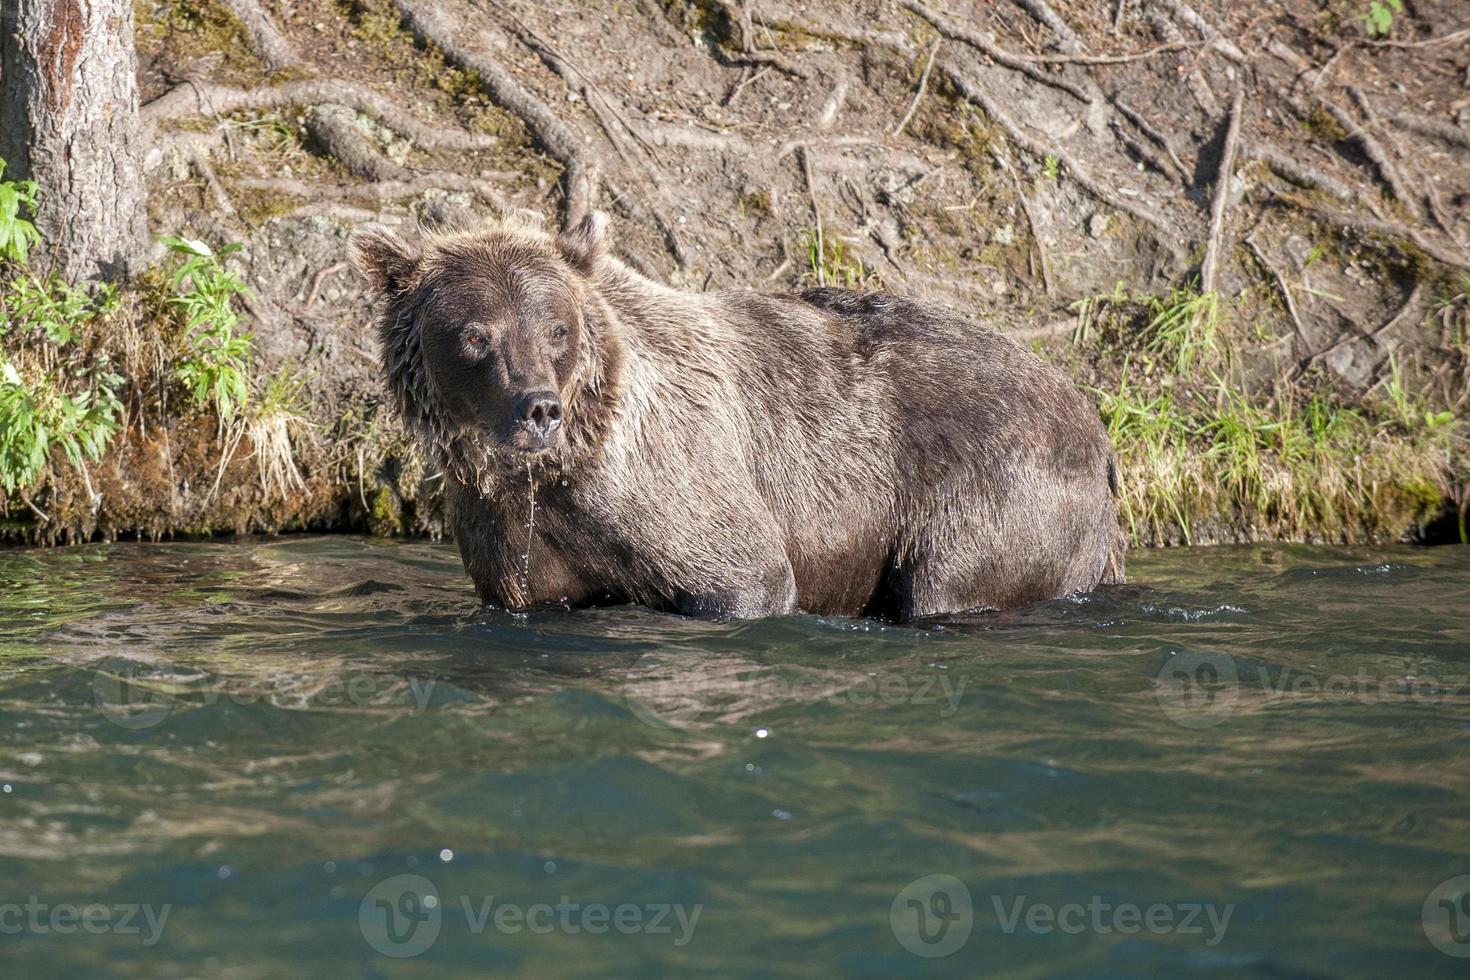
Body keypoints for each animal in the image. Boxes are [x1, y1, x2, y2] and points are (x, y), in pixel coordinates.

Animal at [346, 214, 1123, 620]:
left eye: (556, 329)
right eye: (476, 335)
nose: (539, 409)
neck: (563, 475)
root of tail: (1094, 421)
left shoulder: (675, 479)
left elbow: (744, 572)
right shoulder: (517, 538)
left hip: (992, 489)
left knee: (943, 585)